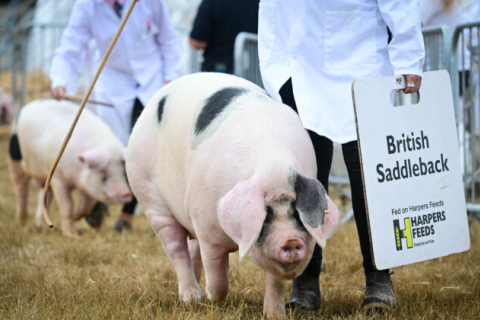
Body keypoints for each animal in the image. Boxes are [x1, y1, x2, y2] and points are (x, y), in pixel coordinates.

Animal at [8, 99, 133, 236]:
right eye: (104, 175)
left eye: (124, 173)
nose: (126, 192)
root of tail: (27, 106)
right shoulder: (57, 179)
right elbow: (67, 205)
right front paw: (71, 234)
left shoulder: (84, 184)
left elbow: (86, 206)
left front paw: (76, 217)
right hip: (15, 160)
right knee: (21, 190)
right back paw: (22, 222)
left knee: (44, 197)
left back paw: (41, 226)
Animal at [125, 72, 340, 318]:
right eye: (266, 216)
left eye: (296, 213)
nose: (291, 240)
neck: (272, 166)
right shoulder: (206, 228)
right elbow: (218, 275)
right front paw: (212, 297)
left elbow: (274, 283)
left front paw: (275, 315)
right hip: (149, 194)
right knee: (176, 248)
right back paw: (193, 298)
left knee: (190, 248)